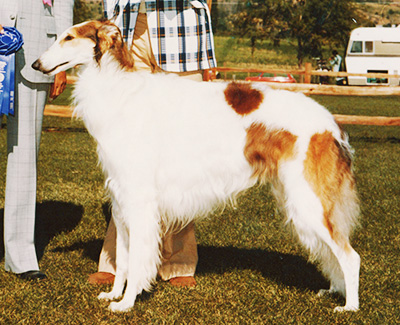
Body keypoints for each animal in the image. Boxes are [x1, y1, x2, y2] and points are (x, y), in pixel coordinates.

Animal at [32, 20, 360, 312]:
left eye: (69, 37)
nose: (35, 64)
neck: (119, 91)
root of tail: (331, 125)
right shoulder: (121, 199)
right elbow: (123, 259)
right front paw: (114, 294)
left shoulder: (140, 201)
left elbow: (137, 260)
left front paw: (126, 303)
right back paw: (335, 290)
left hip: (308, 200)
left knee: (350, 256)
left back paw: (350, 306)